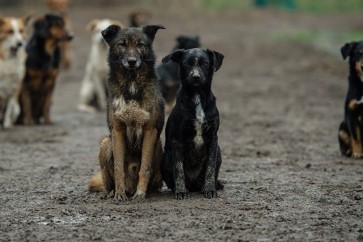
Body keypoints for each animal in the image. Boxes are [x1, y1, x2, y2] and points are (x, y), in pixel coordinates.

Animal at [89, 24, 166, 202]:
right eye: (122, 44)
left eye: (140, 44)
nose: (132, 61)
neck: (132, 82)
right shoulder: (117, 131)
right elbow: (119, 168)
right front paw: (119, 193)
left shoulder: (150, 131)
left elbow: (144, 167)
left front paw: (140, 193)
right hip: (106, 143)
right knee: (108, 182)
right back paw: (113, 191)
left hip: (159, 144)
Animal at [162, 47, 225, 199]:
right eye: (186, 63)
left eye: (205, 63)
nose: (195, 77)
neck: (197, 95)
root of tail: (193, 184)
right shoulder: (178, 140)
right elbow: (178, 169)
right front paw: (181, 191)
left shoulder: (213, 139)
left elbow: (210, 169)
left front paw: (210, 189)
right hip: (166, 157)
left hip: (219, 151)